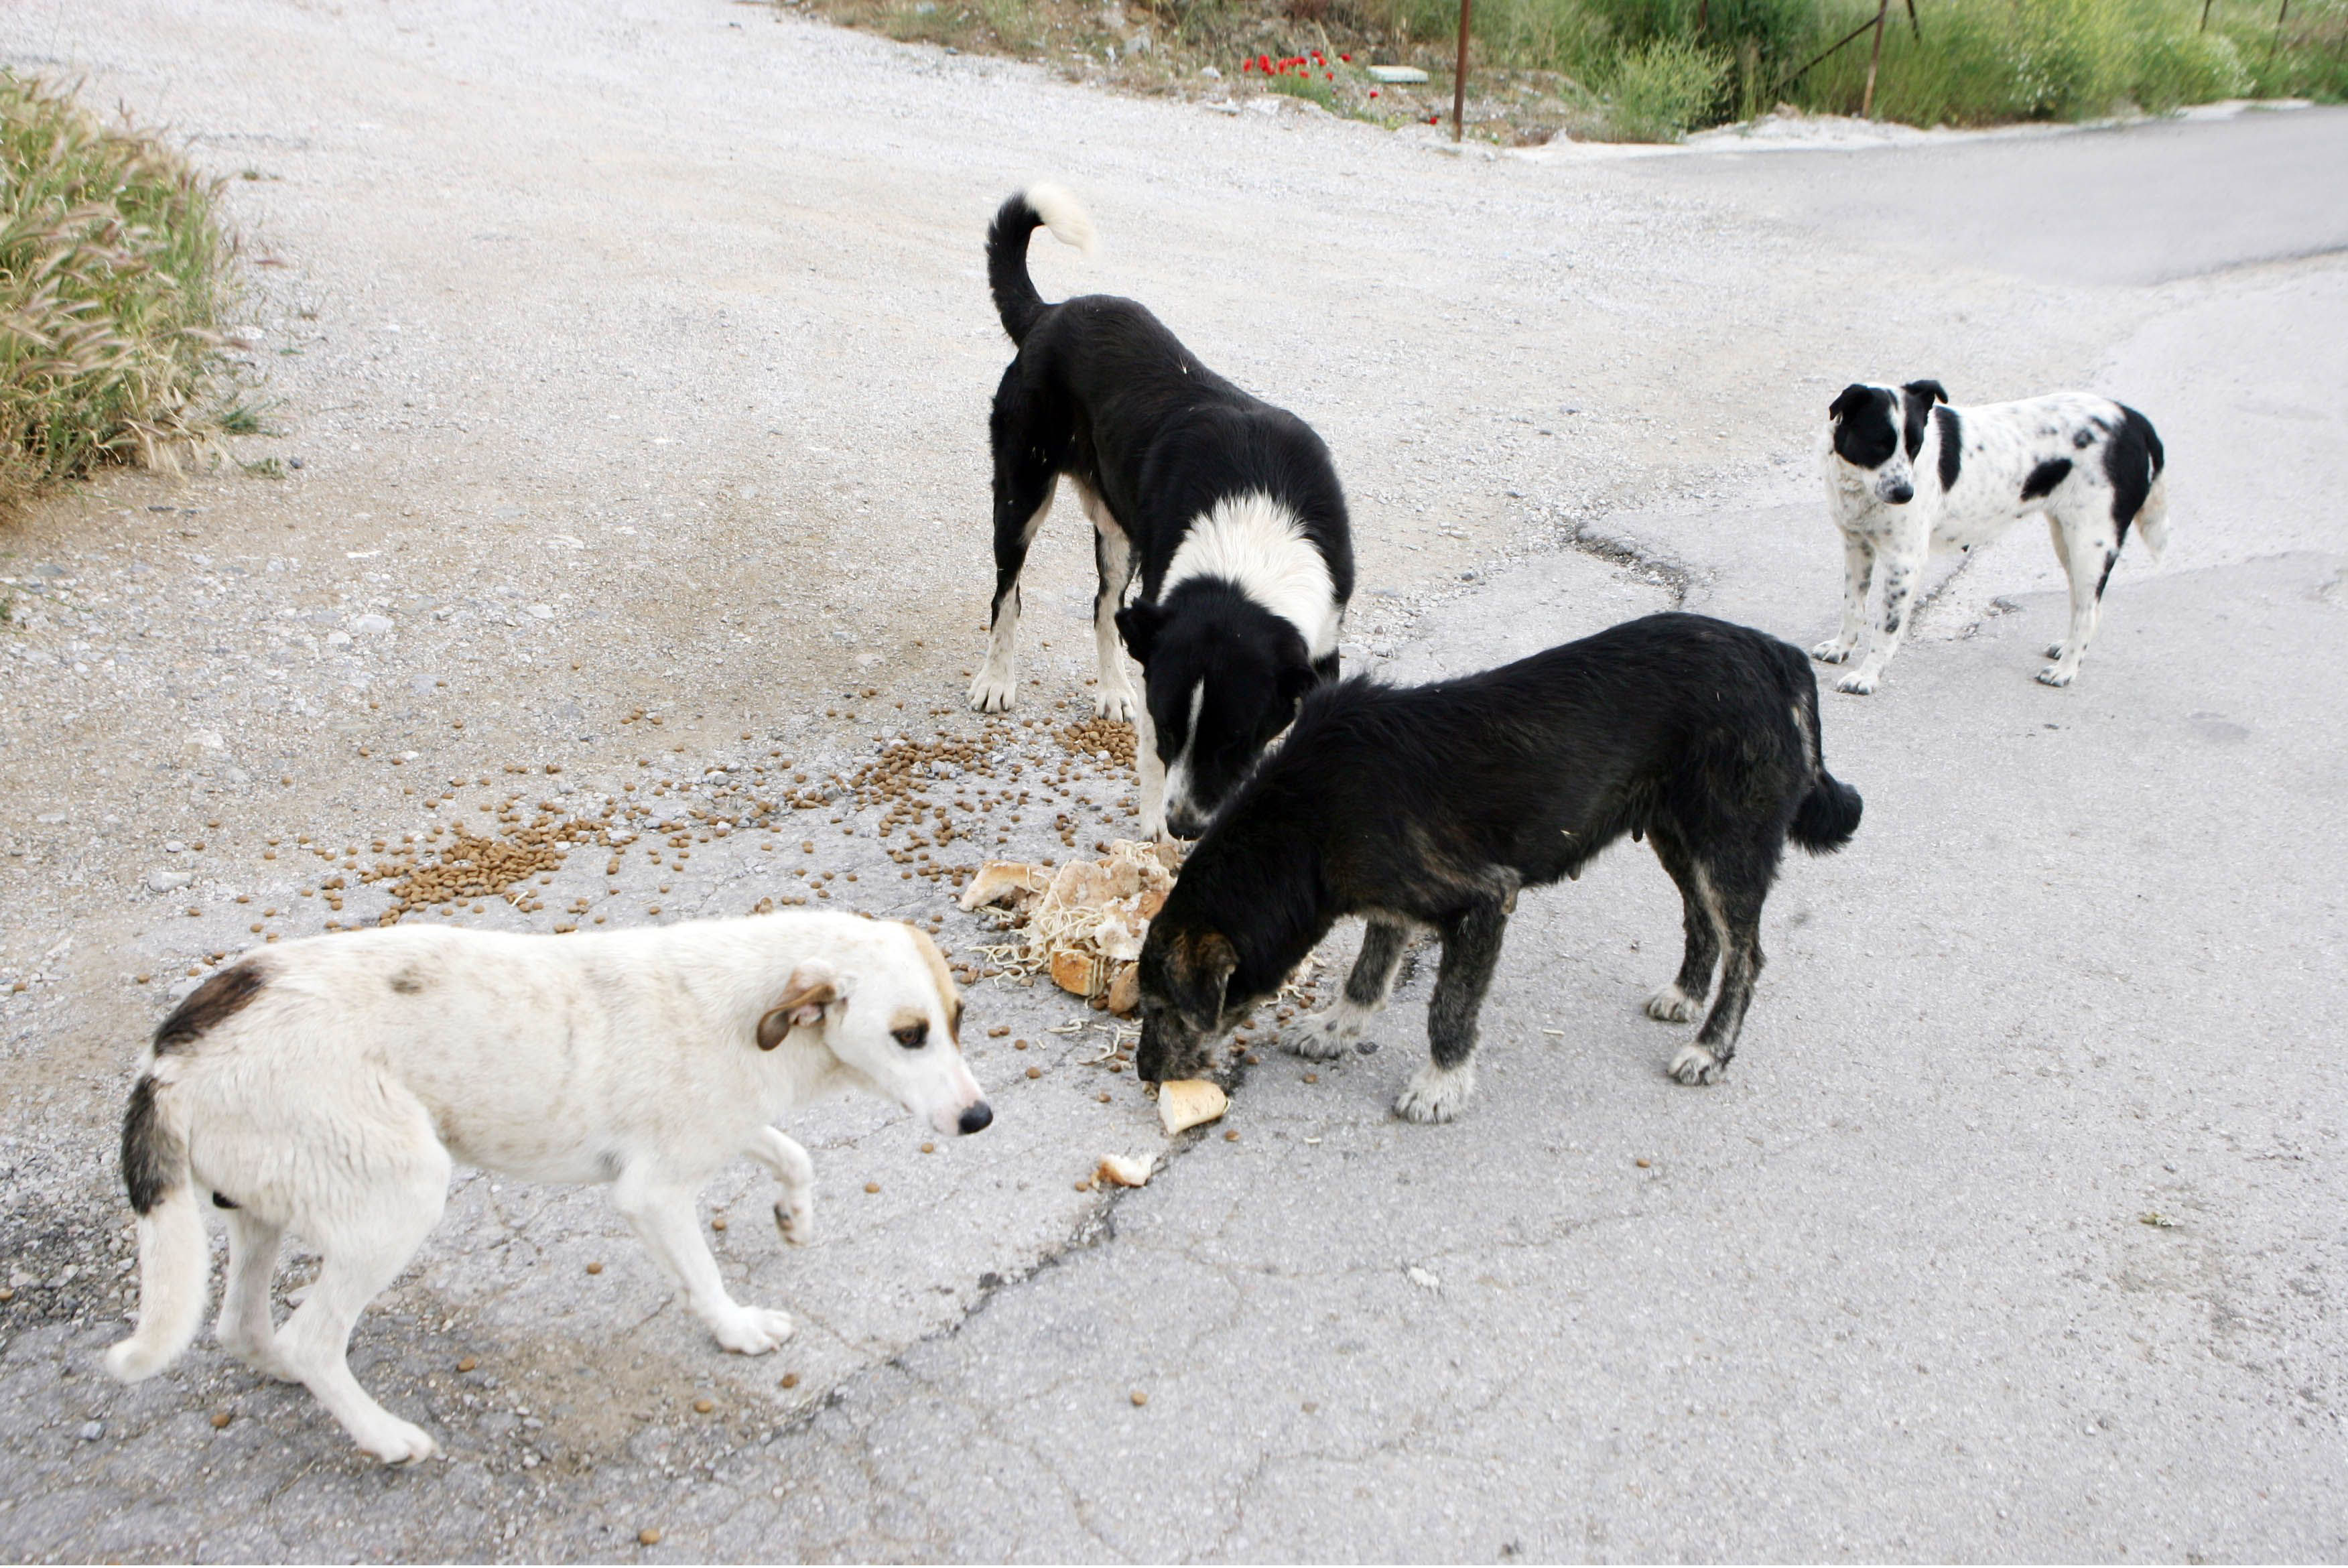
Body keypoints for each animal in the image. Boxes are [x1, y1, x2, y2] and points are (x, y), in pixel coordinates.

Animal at [105, 911, 986, 1464]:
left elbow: (793, 1154)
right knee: (310, 1337)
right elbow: (704, 1278)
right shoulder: (652, 1193)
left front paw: (794, 1216)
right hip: (401, 1196)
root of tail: (170, 1055)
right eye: (909, 1035)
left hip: (264, 1210)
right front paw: (737, 1330)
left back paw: (294, 1378)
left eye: (958, 1018)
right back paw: (384, 1436)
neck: (754, 1004)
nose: (981, 1118)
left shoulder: (714, 1132)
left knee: (245, 1328)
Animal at [962, 184, 1352, 845]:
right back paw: (997, 679)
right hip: (1021, 495)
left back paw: (1114, 688)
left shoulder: (1322, 644)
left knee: (1104, 607)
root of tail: (1050, 313)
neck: (1251, 533)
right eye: (1171, 729)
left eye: (1238, 742)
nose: (1184, 827)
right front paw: (1152, 830)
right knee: (1006, 595)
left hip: (1119, 533)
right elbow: (1149, 756)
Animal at [1136, 610, 1869, 1112]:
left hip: (1730, 845)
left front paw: (1441, 1084)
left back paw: (1711, 1049)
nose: (1144, 1071)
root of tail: (1776, 656)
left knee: (1747, 955)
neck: (1305, 819)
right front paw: (1341, 1026)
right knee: (1701, 921)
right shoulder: (1389, 896)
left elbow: (1449, 1007)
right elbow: (1370, 969)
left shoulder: (1483, 899)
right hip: (1680, 837)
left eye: (1160, 1007)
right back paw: (1687, 994)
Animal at [1822, 375, 2169, 690]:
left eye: (1916, 447)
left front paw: (1867, 676)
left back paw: (2066, 671)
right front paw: (1841, 648)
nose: (1906, 494)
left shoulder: (1903, 561)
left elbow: (1886, 628)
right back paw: (2065, 649)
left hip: (2090, 544)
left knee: (2089, 612)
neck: (1859, 484)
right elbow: (1852, 607)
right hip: (2067, 541)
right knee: (2083, 604)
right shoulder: (1857, 547)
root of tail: (2131, 418)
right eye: (1878, 445)